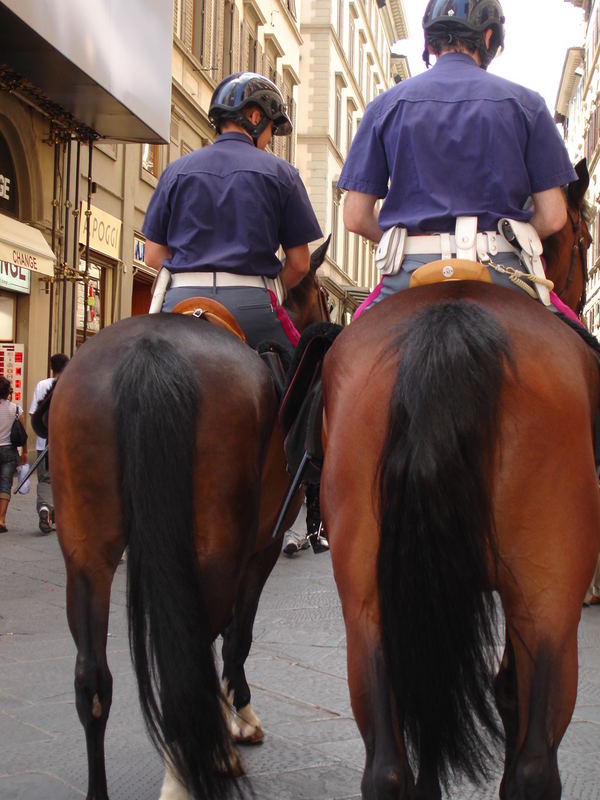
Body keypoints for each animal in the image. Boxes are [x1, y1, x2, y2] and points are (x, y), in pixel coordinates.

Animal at [50, 239, 332, 800]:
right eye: (327, 303)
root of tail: (152, 354)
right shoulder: (262, 547)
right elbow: (238, 635)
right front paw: (240, 719)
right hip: (216, 545)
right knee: (195, 649)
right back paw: (198, 766)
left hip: (86, 552)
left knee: (92, 676)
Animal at [322, 183, 596, 800]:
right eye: (585, 239)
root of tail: (450, 317)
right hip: (549, 598)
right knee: (534, 761)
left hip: (370, 599)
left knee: (389, 764)